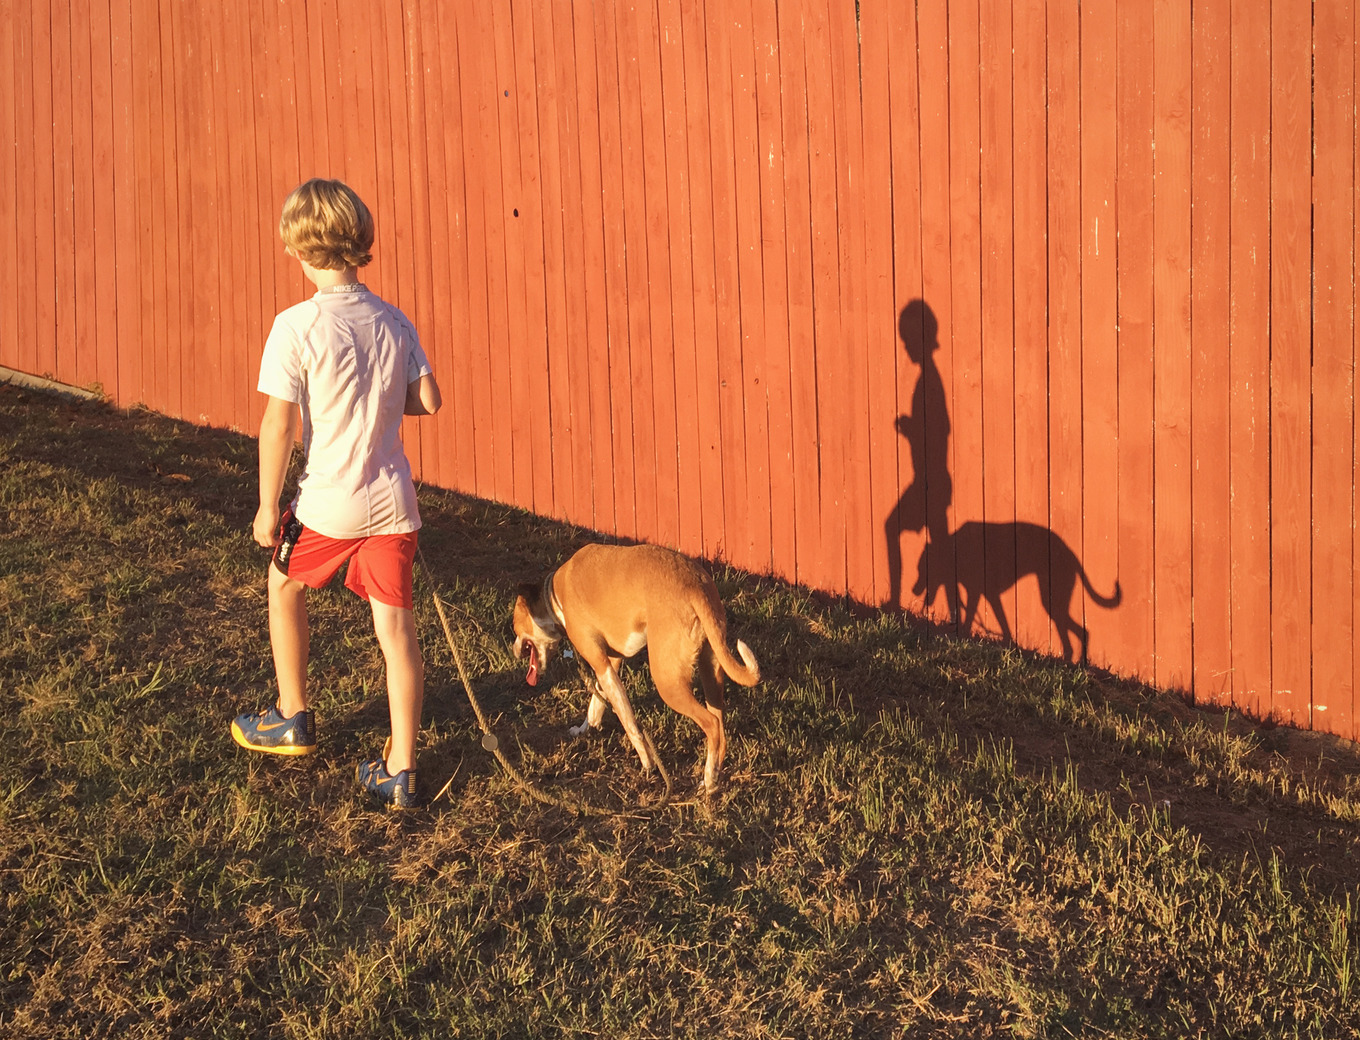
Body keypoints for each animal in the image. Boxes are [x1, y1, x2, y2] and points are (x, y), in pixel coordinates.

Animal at [512, 543, 760, 792]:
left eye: (515, 626)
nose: (514, 651)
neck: (555, 595)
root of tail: (695, 587)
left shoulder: (601, 664)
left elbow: (629, 722)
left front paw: (647, 763)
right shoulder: (610, 663)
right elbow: (597, 703)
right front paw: (586, 728)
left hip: (667, 683)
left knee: (711, 724)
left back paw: (709, 779)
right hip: (711, 673)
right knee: (720, 726)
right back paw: (713, 774)